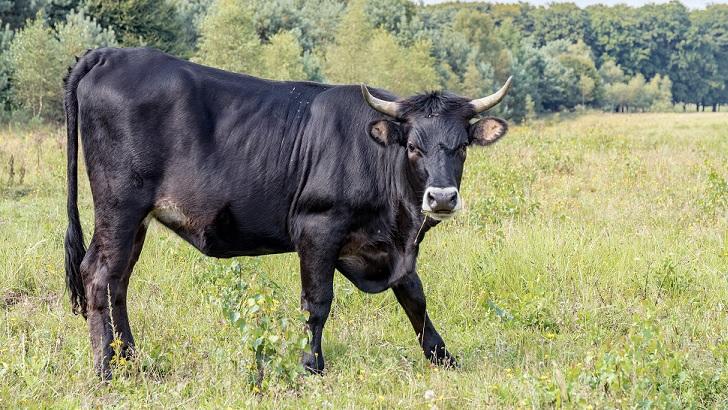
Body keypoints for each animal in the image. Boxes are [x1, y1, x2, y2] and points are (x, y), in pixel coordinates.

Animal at [63, 47, 511, 378]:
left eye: (462, 146)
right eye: (414, 147)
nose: (441, 198)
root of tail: (110, 55)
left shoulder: (395, 250)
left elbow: (414, 297)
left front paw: (442, 357)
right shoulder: (317, 228)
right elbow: (317, 302)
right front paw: (312, 365)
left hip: (134, 220)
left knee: (118, 281)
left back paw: (129, 358)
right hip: (120, 206)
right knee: (100, 275)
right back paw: (107, 368)